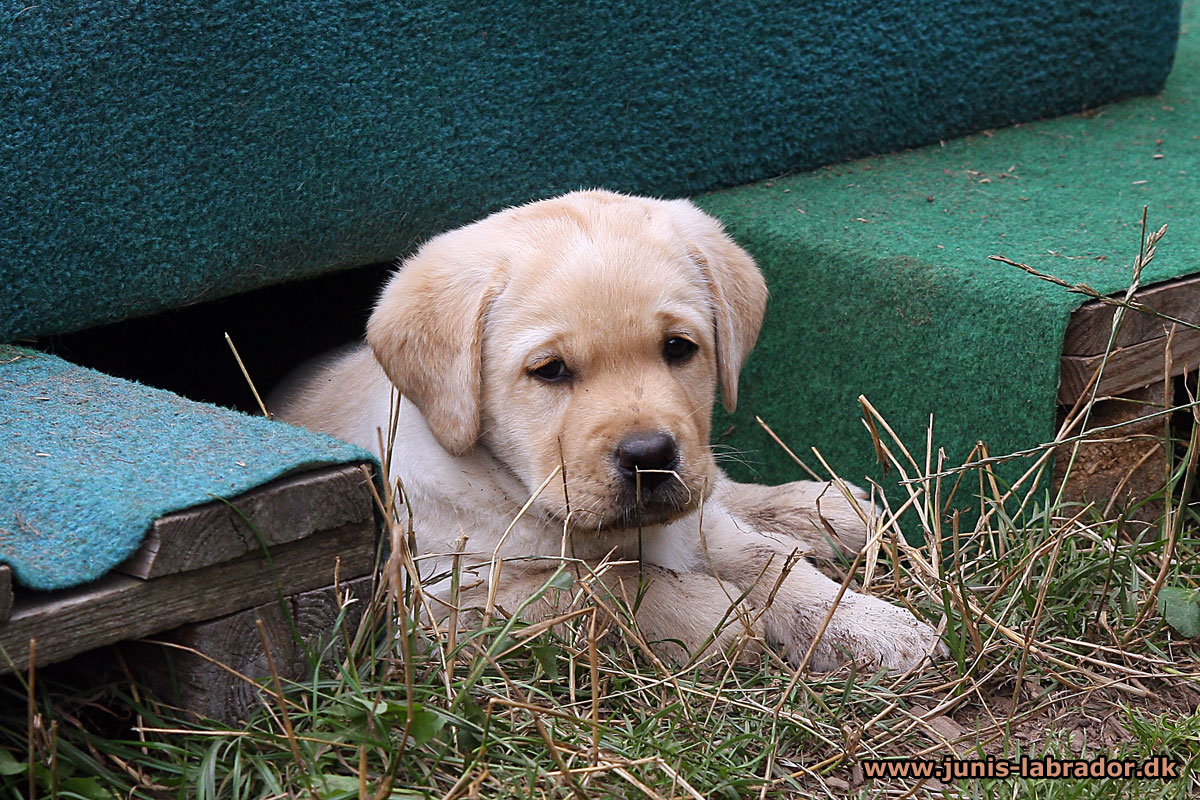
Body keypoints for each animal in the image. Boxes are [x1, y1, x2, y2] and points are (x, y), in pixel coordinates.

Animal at [278, 190, 945, 671]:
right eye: (549, 370)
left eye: (678, 348)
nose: (650, 455)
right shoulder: (443, 607)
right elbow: (595, 590)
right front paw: (715, 615)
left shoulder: (695, 521)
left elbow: (768, 562)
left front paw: (865, 625)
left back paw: (819, 509)